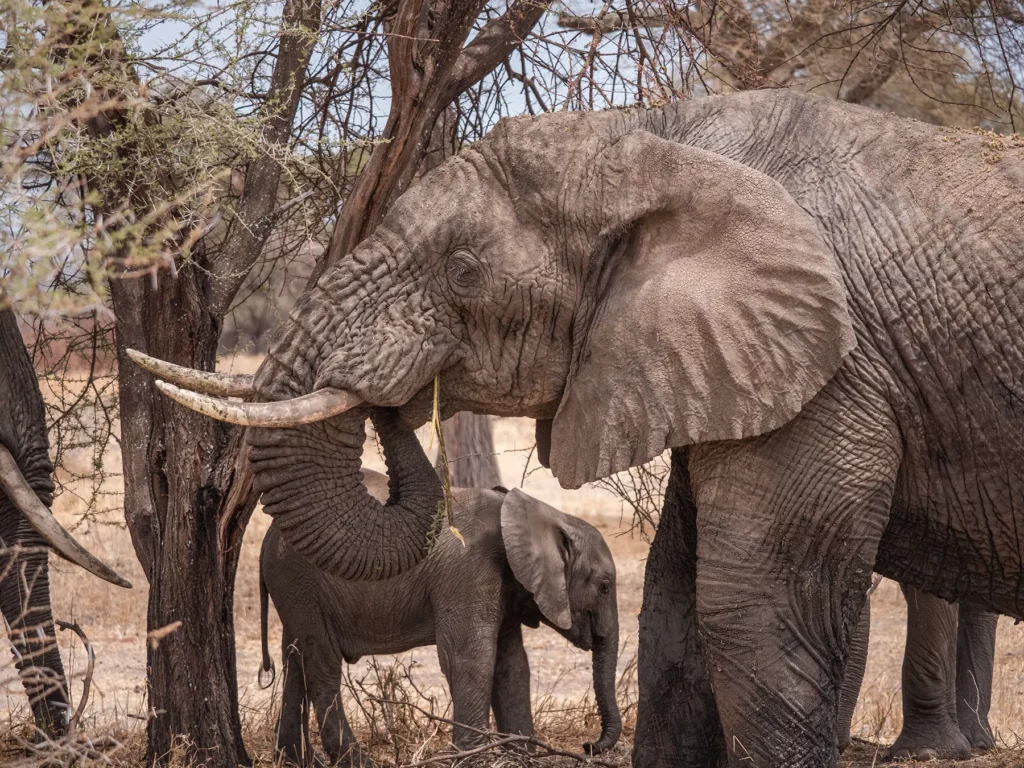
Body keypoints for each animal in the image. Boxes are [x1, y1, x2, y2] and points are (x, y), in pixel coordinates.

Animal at [257, 409, 620, 765]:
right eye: (604, 587)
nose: (589, 745)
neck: (538, 514)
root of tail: (267, 540)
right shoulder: (470, 574)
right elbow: (470, 660)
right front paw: (471, 759)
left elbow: (513, 665)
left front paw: (522, 758)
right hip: (299, 581)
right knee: (323, 662)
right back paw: (355, 760)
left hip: (293, 587)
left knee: (295, 659)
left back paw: (294, 759)